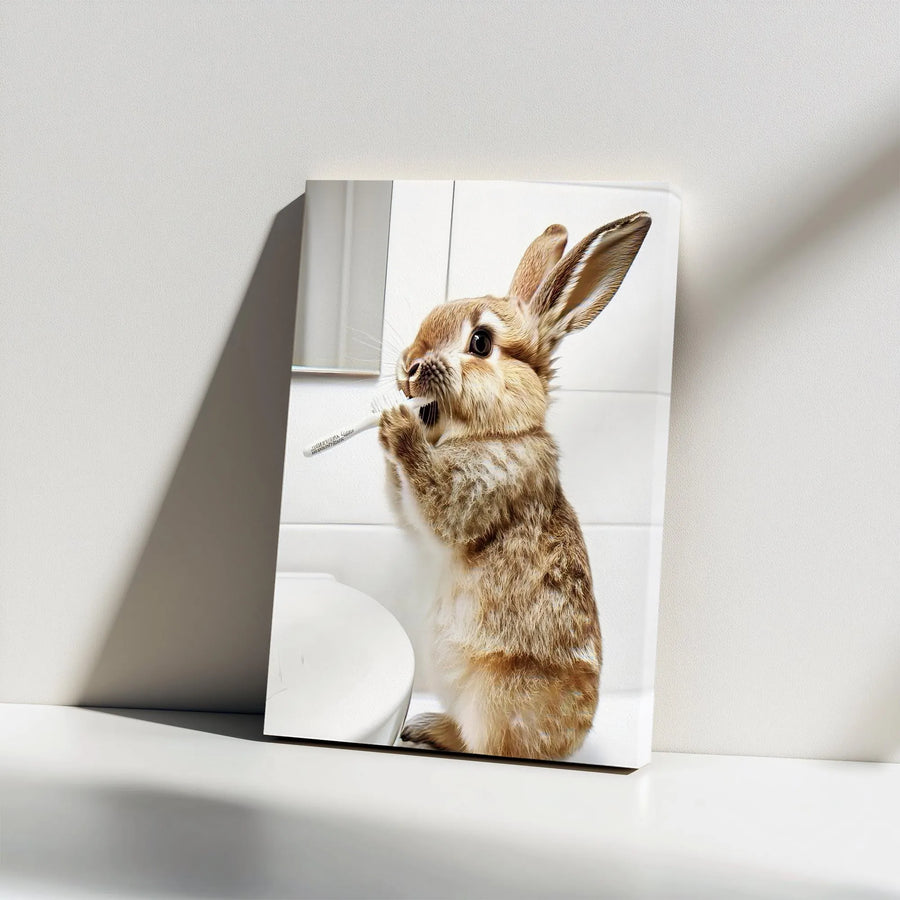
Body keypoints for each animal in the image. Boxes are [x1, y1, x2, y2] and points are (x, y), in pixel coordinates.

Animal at [379, 212, 651, 760]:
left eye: (481, 343)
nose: (408, 366)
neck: (499, 431)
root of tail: (574, 738)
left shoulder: (472, 494)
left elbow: (432, 502)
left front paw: (398, 427)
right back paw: (423, 727)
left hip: (496, 701)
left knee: (486, 746)